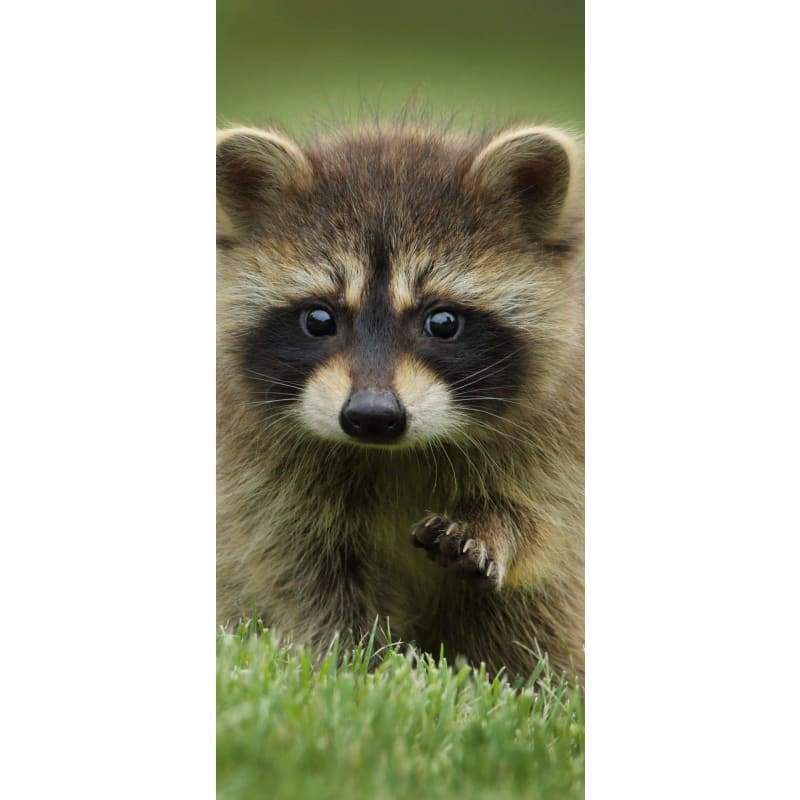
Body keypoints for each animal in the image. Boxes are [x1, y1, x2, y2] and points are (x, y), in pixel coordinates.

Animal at [216, 121, 584, 680]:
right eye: (319, 319)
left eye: (442, 322)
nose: (372, 417)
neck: (395, 454)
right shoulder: (257, 475)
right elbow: (302, 572)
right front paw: (354, 663)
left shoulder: (561, 432)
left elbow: (547, 522)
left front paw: (496, 526)